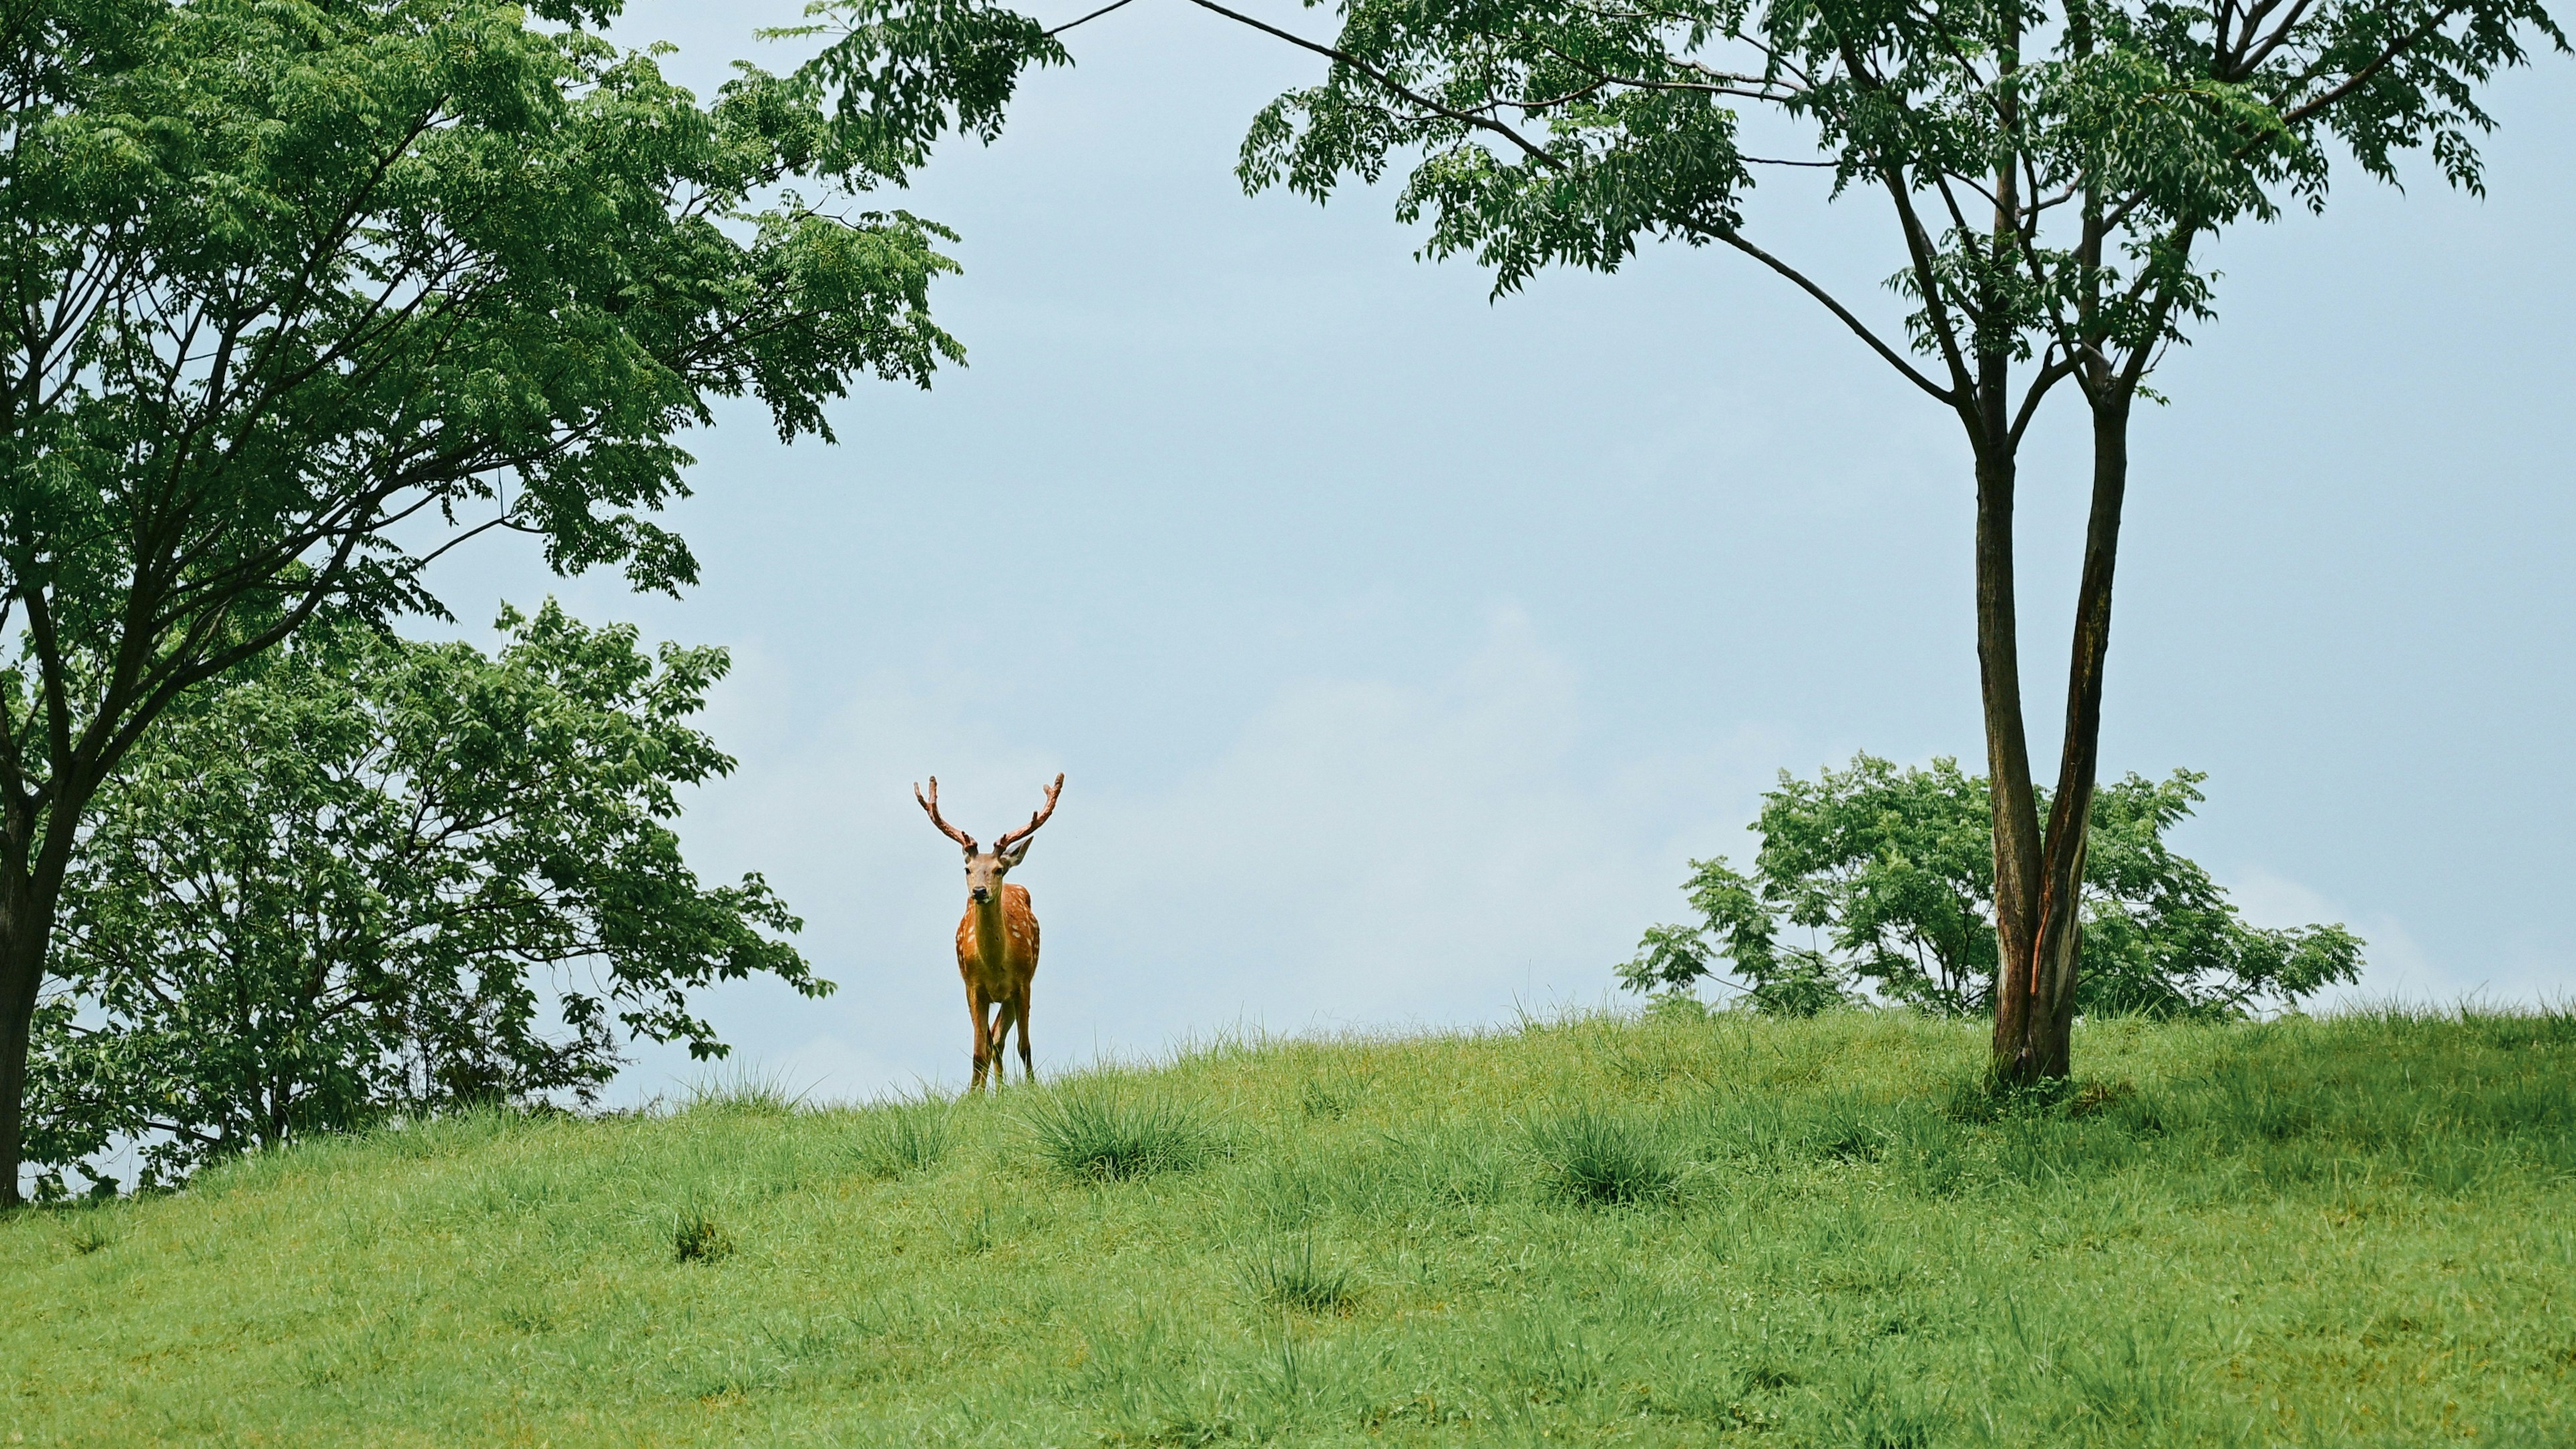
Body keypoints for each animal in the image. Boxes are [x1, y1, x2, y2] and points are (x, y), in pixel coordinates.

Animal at [915, 773, 1063, 1091]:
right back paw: (994, 1089)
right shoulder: (973, 987)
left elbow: (1024, 1046)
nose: (980, 892)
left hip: (1013, 992)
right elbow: (978, 1052)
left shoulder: (1023, 983)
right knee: (992, 1040)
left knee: (1000, 1038)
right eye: (967, 869)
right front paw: (974, 1095)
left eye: (998, 869)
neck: (996, 965)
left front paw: (1032, 1088)